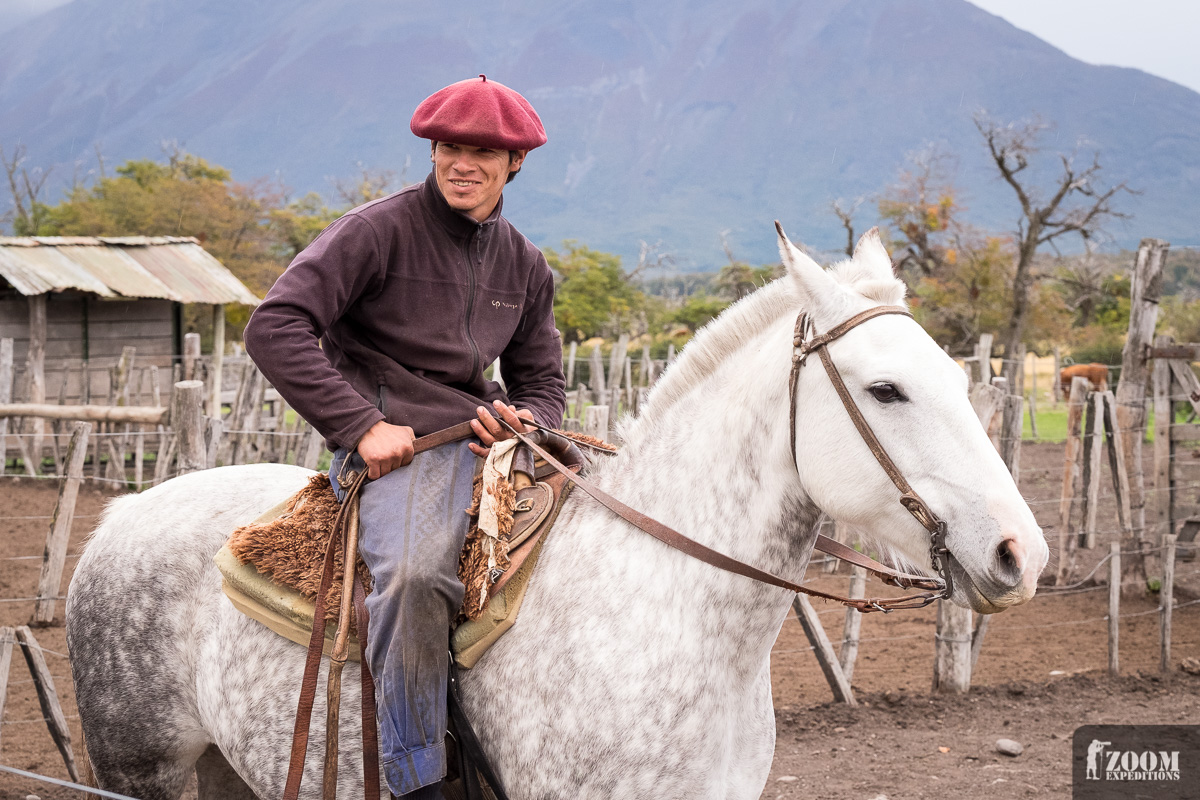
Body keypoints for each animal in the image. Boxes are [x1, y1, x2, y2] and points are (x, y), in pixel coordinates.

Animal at [65, 226, 1046, 800]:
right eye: (886, 390)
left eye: (959, 375)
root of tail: (121, 518)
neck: (664, 615)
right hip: (141, 774)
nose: (1019, 554)